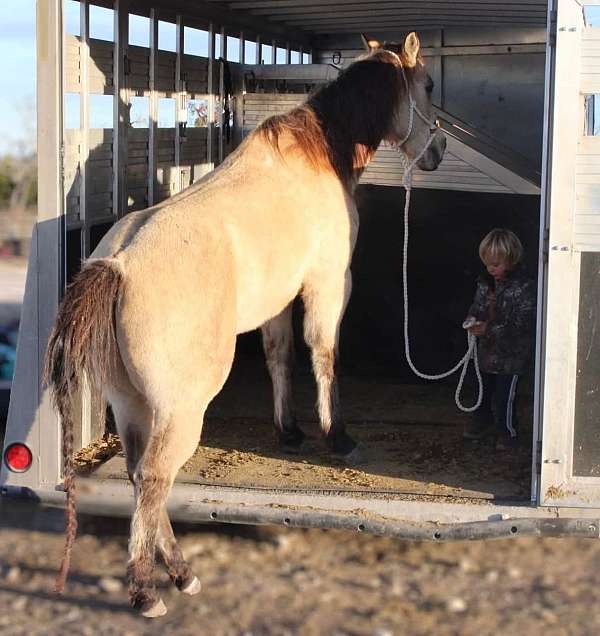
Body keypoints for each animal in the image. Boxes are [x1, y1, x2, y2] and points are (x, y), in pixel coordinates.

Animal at [45, 31, 446, 616]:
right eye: (429, 84)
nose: (438, 151)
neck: (318, 155)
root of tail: (117, 266)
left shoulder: (278, 301)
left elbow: (281, 357)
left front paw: (290, 432)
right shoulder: (328, 283)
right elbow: (323, 354)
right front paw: (337, 436)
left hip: (132, 404)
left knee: (140, 477)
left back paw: (182, 573)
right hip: (180, 412)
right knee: (154, 478)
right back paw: (145, 589)